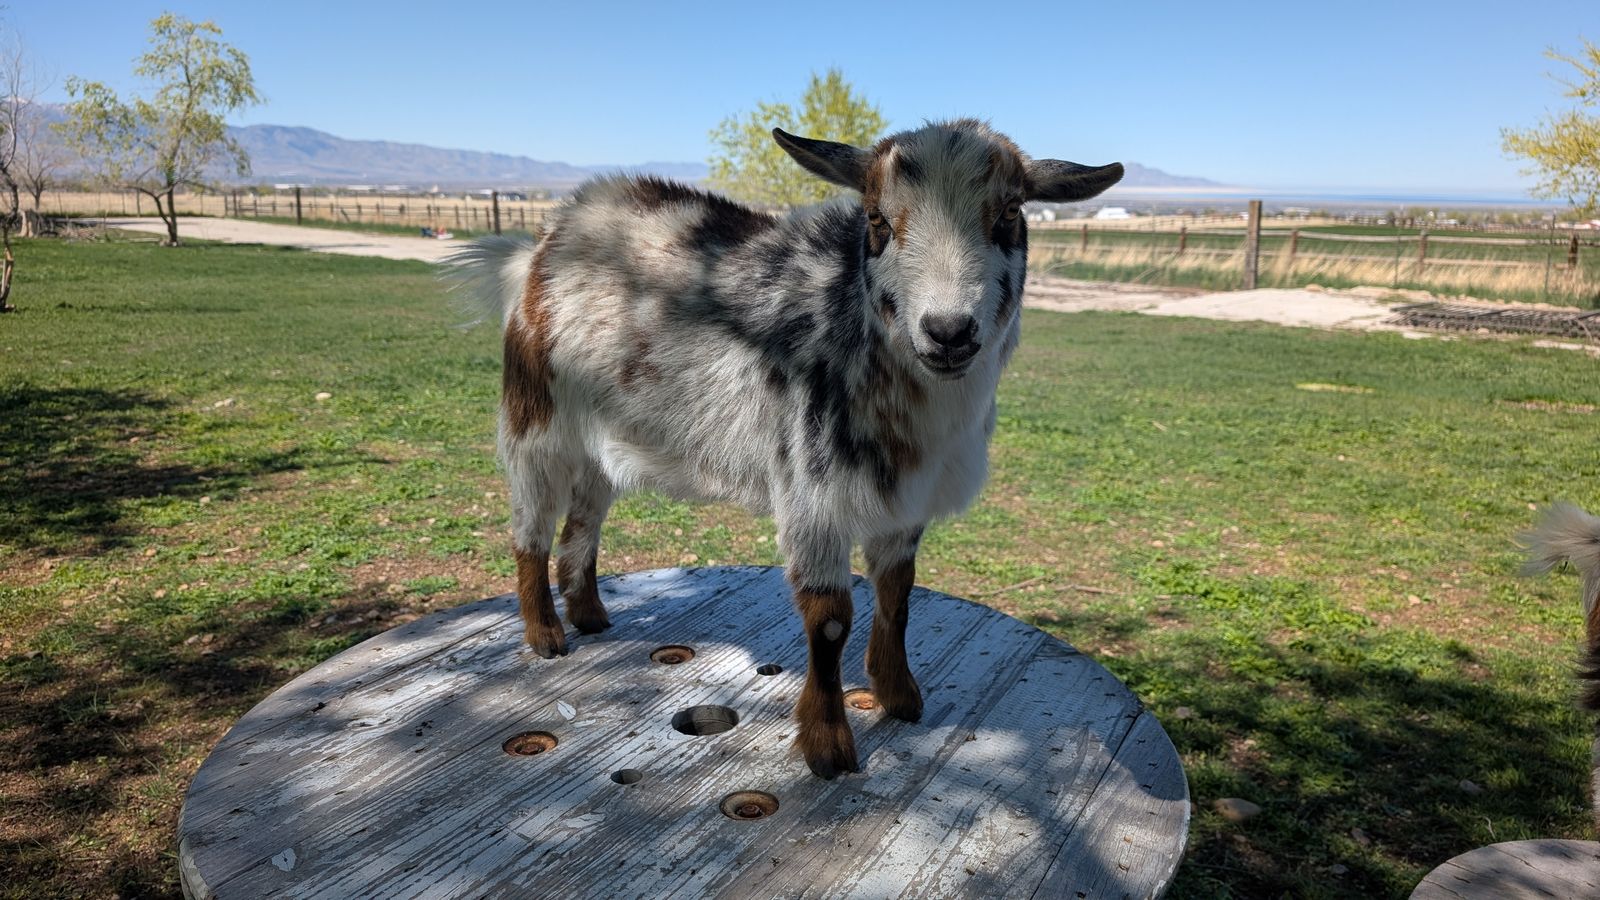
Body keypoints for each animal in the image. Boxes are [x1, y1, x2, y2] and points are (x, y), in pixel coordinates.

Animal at [448, 119, 1122, 777]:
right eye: (877, 220)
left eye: (1009, 214)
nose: (948, 332)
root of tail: (539, 246)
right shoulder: (812, 495)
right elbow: (829, 619)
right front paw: (827, 748)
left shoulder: (906, 500)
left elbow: (898, 592)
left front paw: (899, 696)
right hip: (536, 419)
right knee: (530, 527)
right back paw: (546, 634)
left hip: (604, 440)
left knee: (582, 523)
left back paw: (590, 615)